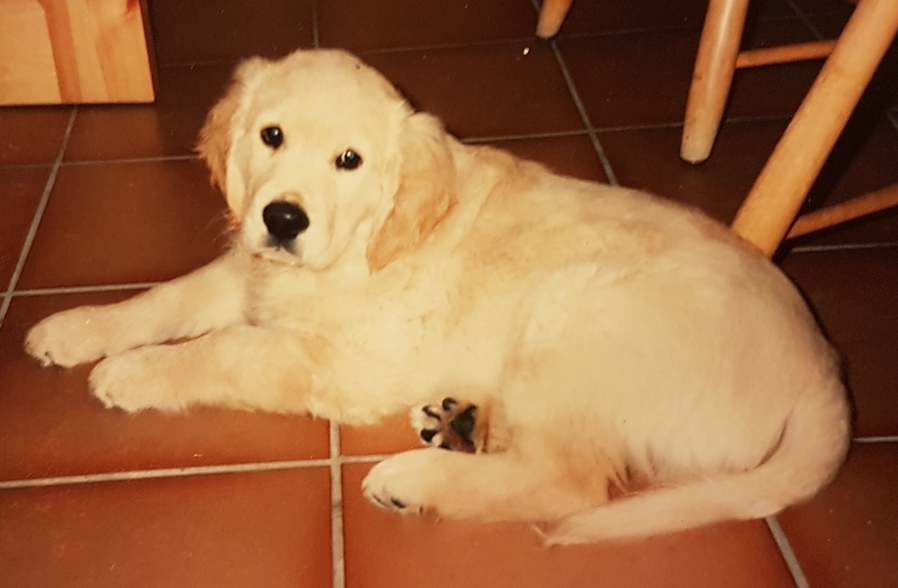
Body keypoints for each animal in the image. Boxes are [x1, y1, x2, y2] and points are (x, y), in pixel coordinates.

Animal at [21, 48, 848, 544]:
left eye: (349, 160)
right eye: (271, 136)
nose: (284, 219)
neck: (366, 241)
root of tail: (823, 370)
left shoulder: (344, 363)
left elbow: (225, 348)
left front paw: (131, 373)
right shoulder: (249, 269)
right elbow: (167, 298)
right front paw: (76, 328)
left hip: (576, 311)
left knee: (569, 483)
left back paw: (415, 478)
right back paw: (459, 421)